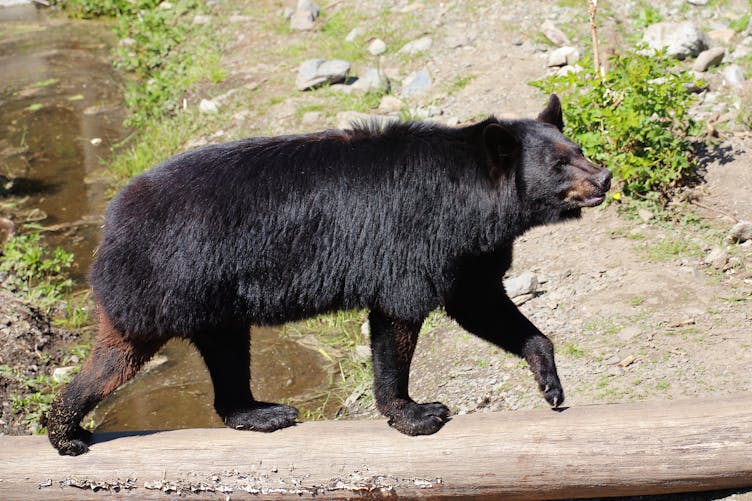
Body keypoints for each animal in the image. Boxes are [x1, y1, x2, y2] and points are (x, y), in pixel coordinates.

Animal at [47, 94, 611, 455]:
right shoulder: (417, 237)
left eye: (579, 149)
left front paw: (550, 383)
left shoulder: (468, 253)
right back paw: (66, 431)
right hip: (167, 279)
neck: (474, 203)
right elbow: (398, 317)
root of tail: (112, 219)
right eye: (560, 165)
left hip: (212, 298)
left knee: (226, 350)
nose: (604, 177)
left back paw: (258, 412)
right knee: (118, 357)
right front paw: (417, 413)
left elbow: (482, 304)